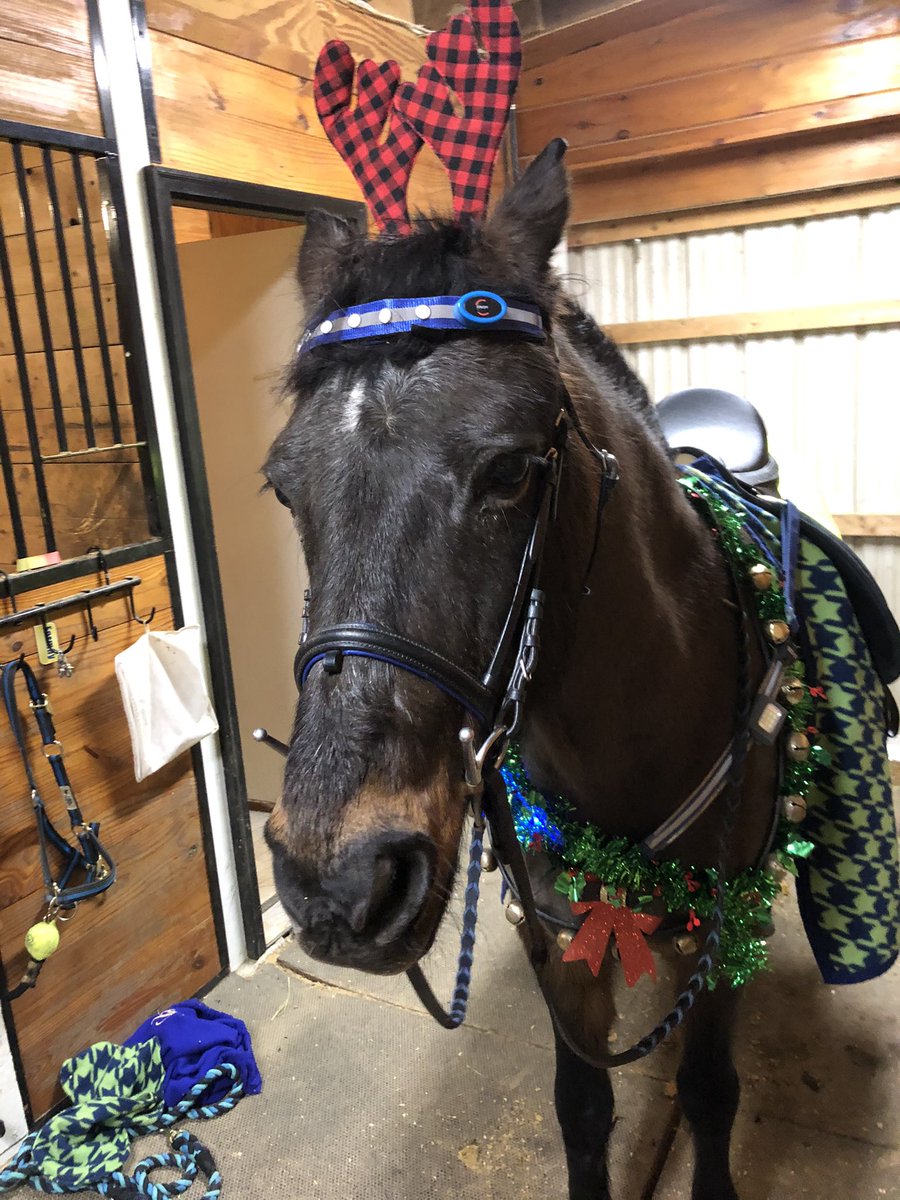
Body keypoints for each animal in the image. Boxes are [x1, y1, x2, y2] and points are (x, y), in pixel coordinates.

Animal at [263, 139, 779, 1200]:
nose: (339, 881)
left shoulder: (725, 938)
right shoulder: (562, 940)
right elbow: (581, 1110)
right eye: (285, 488)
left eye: (509, 471)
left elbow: (710, 1092)